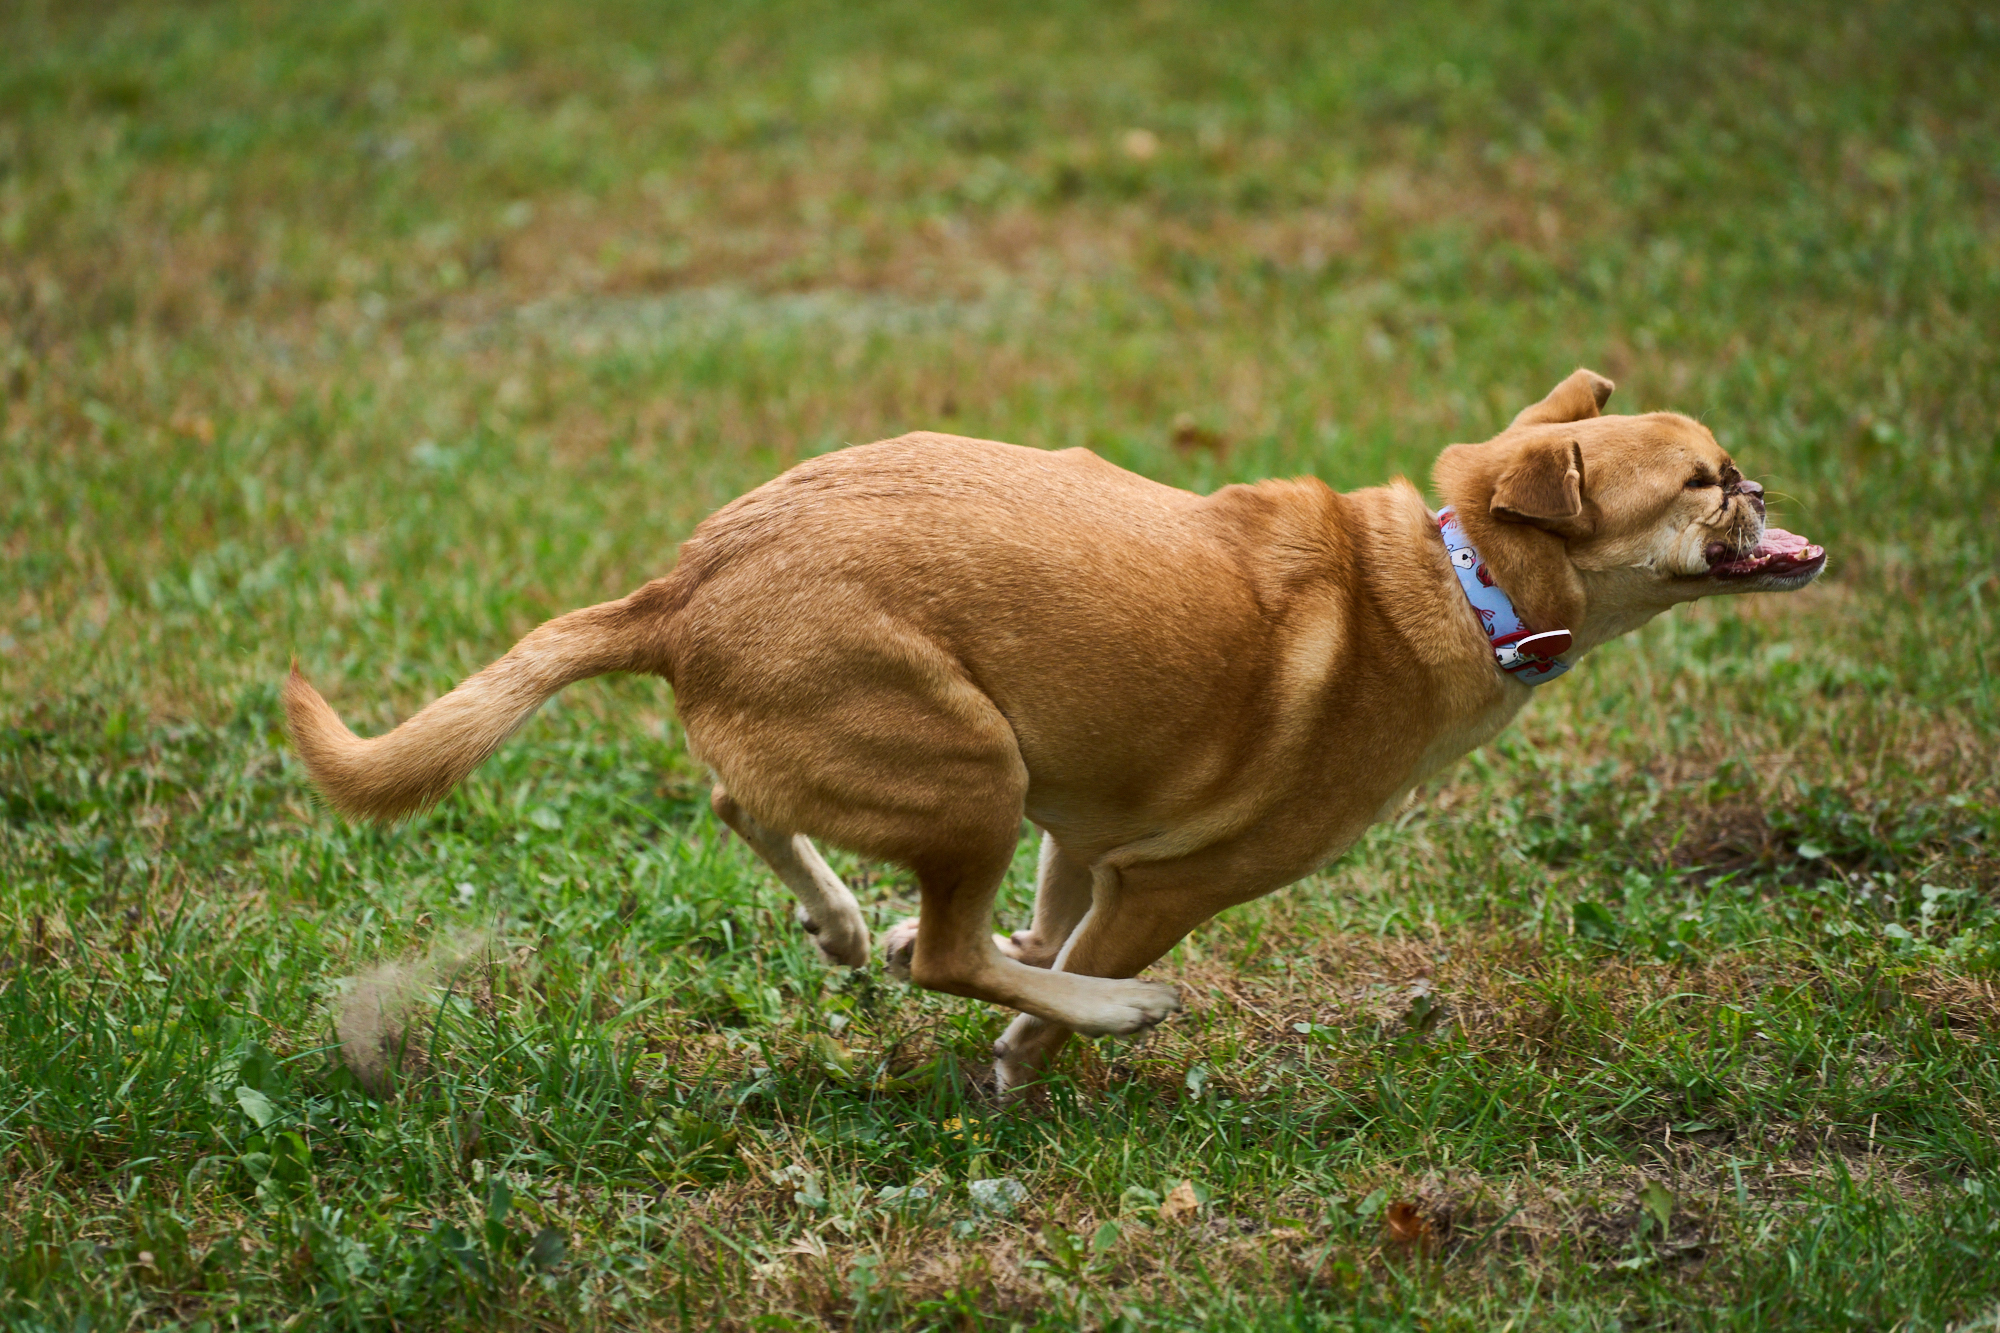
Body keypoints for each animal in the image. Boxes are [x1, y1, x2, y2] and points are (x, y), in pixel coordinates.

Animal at [286, 368, 1832, 1088]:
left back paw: (842, 921)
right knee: (950, 953)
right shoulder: (1173, 880)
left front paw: (991, 970)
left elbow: (1046, 917)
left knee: (751, 809)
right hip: (972, 765)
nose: (1768, 485)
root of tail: (681, 587)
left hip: (940, 765)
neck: (1458, 578)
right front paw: (1040, 1051)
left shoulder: (1090, 826)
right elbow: (1052, 970)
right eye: (1705, 483)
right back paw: (1098, 1007)